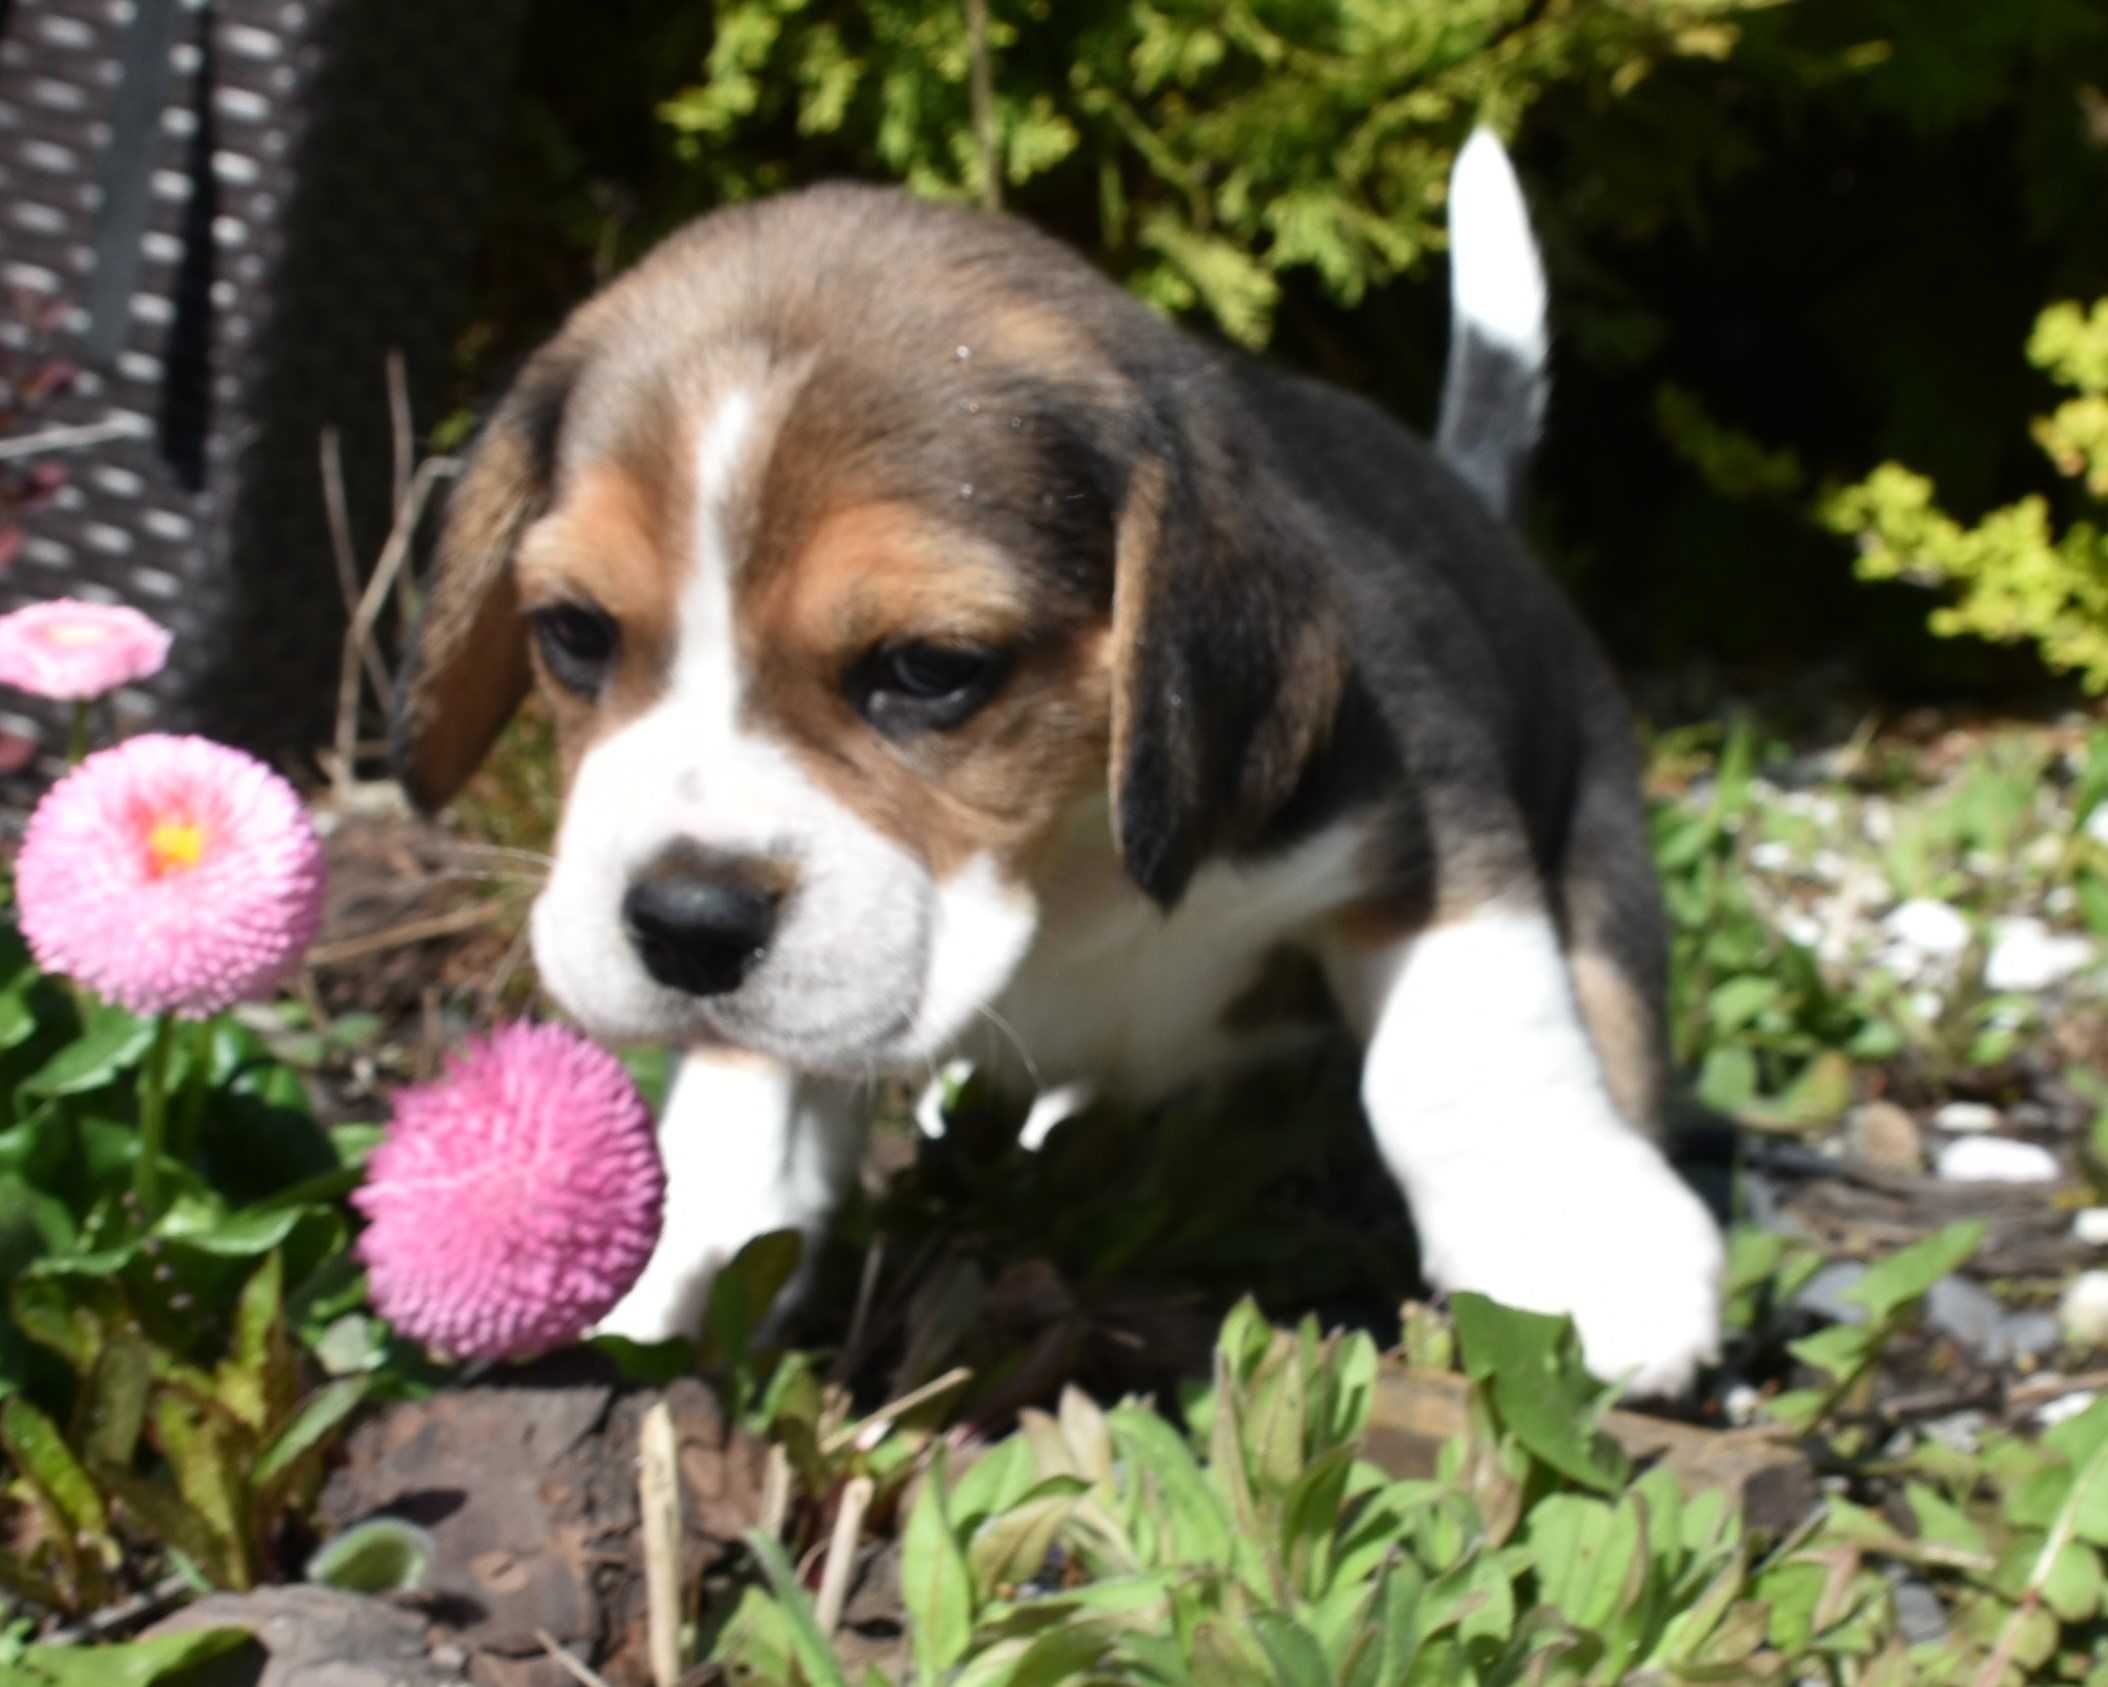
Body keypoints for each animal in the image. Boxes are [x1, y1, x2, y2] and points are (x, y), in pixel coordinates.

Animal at [398, 134, 1728, 1400]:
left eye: (931, 667)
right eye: (574, 632)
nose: (685, 926)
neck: (1062, 866)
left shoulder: (1426, 801)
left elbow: (1467, 1037)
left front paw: (1573, 1240)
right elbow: (749, 1069)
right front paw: (679, 1243)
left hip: (1602, 854)